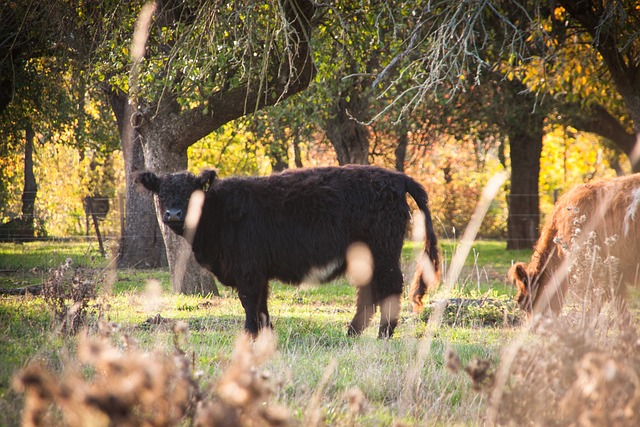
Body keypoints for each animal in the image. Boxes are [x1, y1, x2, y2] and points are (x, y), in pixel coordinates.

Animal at [136, 164, 440, 338]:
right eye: (161, 192)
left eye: (192, 192)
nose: (173, 214)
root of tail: (395, 177)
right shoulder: (257, 271)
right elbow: (261, 304)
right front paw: (265, 333)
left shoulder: (248, 269)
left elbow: (249, 302)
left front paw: (249, 335)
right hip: (366, 256)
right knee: (368, 293)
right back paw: (352, 333)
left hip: (383, 251)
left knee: (389, 288)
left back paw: (383, 335)